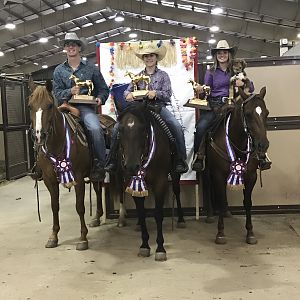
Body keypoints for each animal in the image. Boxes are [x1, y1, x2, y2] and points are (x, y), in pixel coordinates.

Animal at [28, 80, 105, 251]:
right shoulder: (50, 180)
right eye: (30, 106)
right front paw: (53, 236)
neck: (58, 143)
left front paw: (83, 238)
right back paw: (97, 217)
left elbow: (80, 207)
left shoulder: (78, 179)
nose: (39, 135)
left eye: (50, 105)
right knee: (97, 190)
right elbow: (54, 206)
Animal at [118, 101, 185, 260]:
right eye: (120, 129)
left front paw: (160, 248)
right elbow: (142, 214)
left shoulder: (160, 181)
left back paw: (180, 219)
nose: (132, 166)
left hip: (175, 174)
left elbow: (158, 214)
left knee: (177, 191)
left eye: (143, 129)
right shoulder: (133, 183)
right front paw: (144, 245)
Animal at [206, 86, 270, 244]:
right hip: (208, 170)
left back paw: (227, 212)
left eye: (266, 113)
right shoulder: (218, 174)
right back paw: (210, 215)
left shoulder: (251, 176)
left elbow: (247, 202)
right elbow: (220, 199)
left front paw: (250, 233)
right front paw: (220, 233)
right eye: (247, 114)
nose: (263, 145)